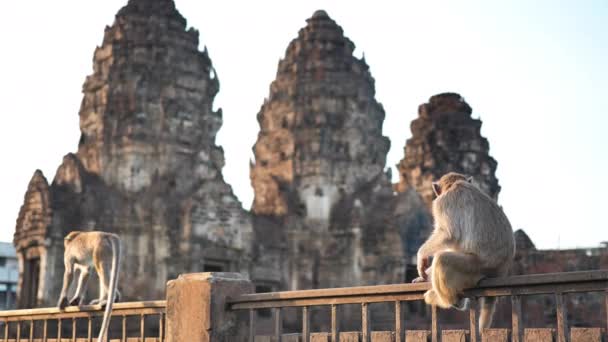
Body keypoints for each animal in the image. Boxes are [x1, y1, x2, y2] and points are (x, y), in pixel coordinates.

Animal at [410, 172, 516, 330]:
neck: (455, 184)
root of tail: (501, 270)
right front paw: (424, 275)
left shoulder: (442, 203)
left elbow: (449, 234)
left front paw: (421, 256)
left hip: (475, 268)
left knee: (443, 260)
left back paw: (449, 301)